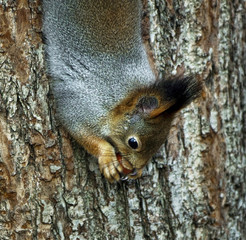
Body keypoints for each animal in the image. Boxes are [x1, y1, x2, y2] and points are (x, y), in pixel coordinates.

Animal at [43, 0, 203, 183]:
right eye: (133, 143)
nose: (134, 168)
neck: (123, 94)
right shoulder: (81, 102)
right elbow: (80, 130)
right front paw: (107, 157)